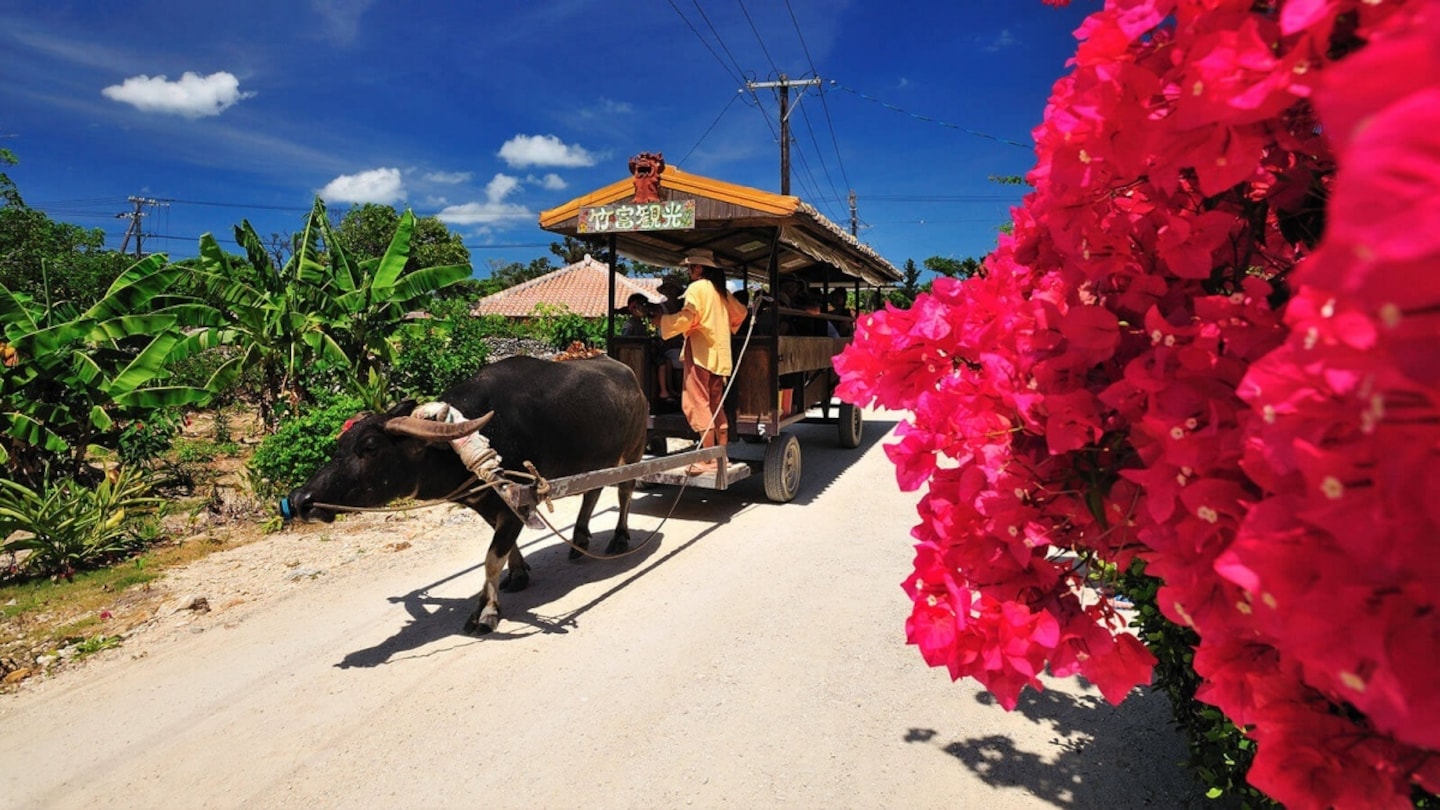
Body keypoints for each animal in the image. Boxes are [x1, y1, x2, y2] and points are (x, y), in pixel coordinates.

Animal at [279, 355, 648, 634]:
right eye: (339, 445)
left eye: (370, 447)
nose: (300, 500)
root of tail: (631, 377)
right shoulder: (486, 503)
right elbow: (503, 549)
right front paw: (517, 574)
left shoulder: (516, 504)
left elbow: (491, 558)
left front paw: (486, 612)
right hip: (596, 461)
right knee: (593, 492)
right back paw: (580, 539)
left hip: (633, 450)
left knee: (625, 491)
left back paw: (619, 538)